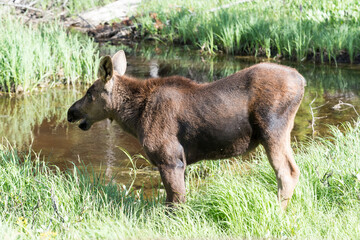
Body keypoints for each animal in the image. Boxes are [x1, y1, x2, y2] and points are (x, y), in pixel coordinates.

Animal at [67, 49, 304, 209]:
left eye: (89, 93)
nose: (71, 112)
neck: (134, 118)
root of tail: (302, 81)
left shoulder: (171, 159)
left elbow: (175, 201)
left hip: (272, 129)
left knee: (287, 172)